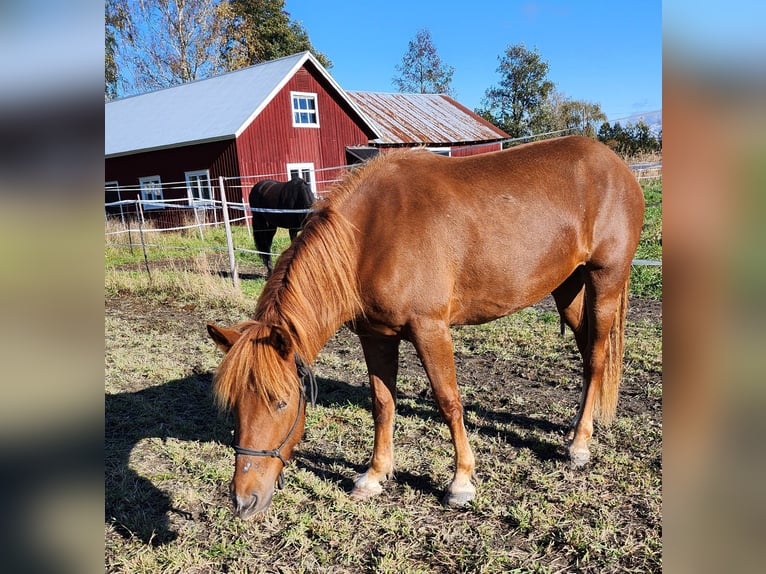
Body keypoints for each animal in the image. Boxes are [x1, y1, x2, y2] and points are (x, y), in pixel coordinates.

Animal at [208, 136, 648, 520]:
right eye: (234, 405)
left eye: (282, 402)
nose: (244, 501)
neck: (369, 238)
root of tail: (616, 165)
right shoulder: (375, 336)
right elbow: (382, 404)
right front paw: (374, 475)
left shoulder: (430, 329)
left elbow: (448, 401)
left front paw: (461, 482)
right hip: (568, 287)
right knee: (588, 350)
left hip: (604, 280)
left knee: (595, 358)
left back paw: (578, 445)